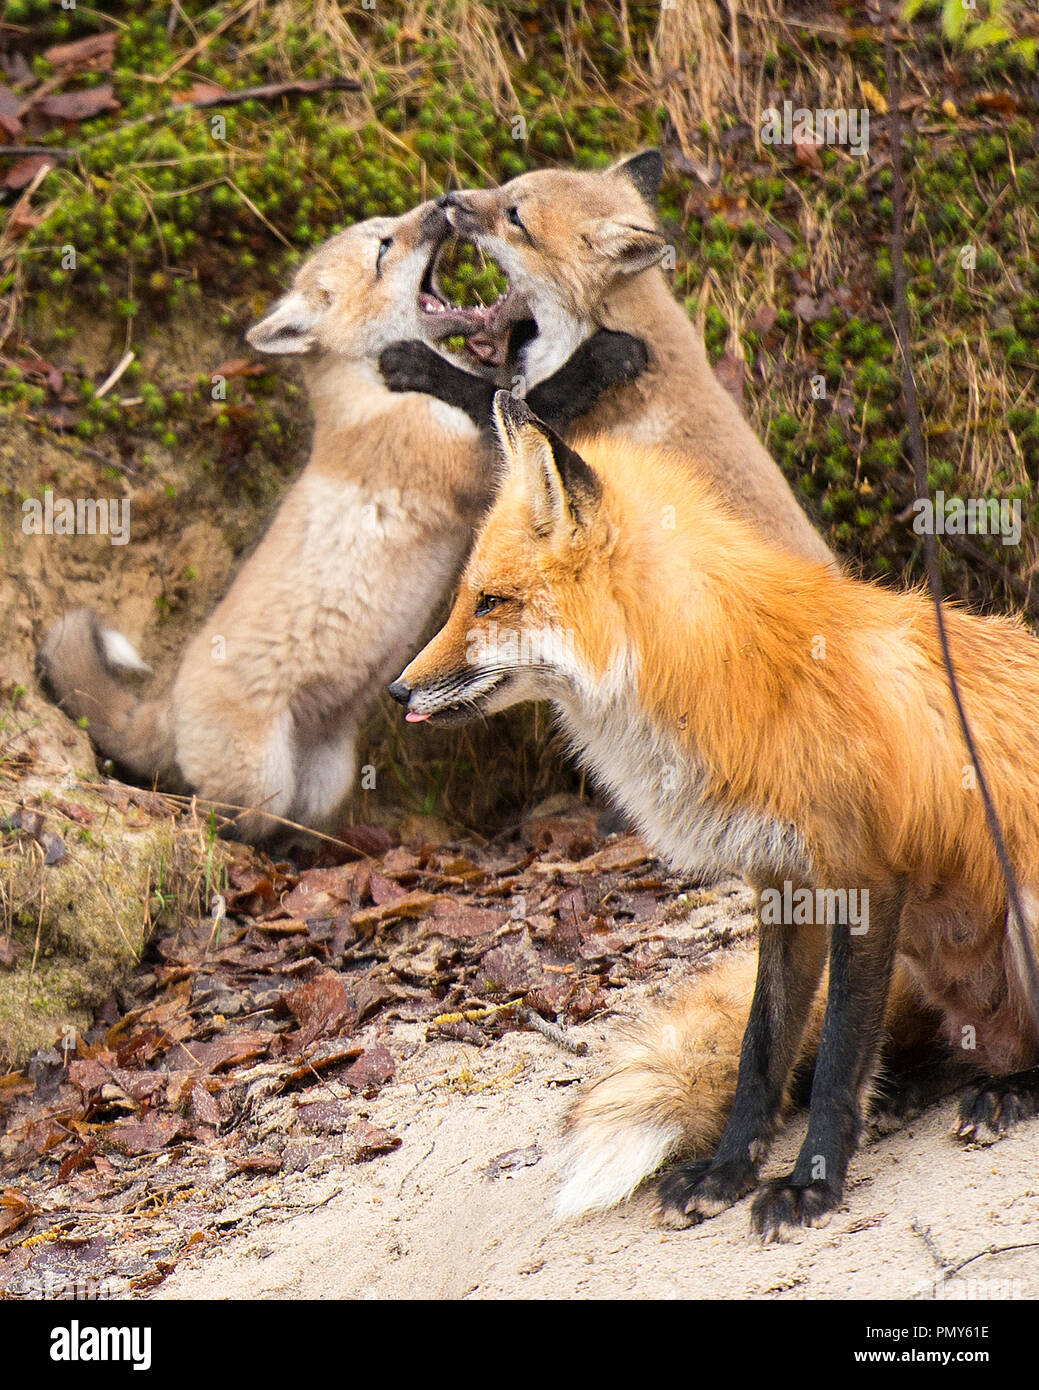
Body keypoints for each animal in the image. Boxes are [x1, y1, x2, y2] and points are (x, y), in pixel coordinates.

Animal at [37, 203, 646, 844]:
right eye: (383, 248)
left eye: (390, 224)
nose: (442, 204)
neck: (370, 397)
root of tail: (166, 707)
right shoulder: (468, 465)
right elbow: (532, 397)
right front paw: (603, 355)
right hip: (261, 782)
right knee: (224, 819)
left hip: (326, 777)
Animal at [377, 151, 834, 569]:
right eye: (505, 188)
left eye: (516, 218)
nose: (446, 199)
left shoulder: (536, 447)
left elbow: (479, 392)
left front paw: (415, 362)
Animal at [390, 392, 1039, 1239]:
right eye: (466, 597)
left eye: (489, 603)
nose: (398, 692)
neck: (732, 672)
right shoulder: (783, 885)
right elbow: (760, 1052)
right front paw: (728, 1171)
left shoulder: (862, 876)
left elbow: (836, 1058)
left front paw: (809, 1184)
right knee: (935, 1043)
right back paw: (915, 1090)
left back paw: (1008, 1090)